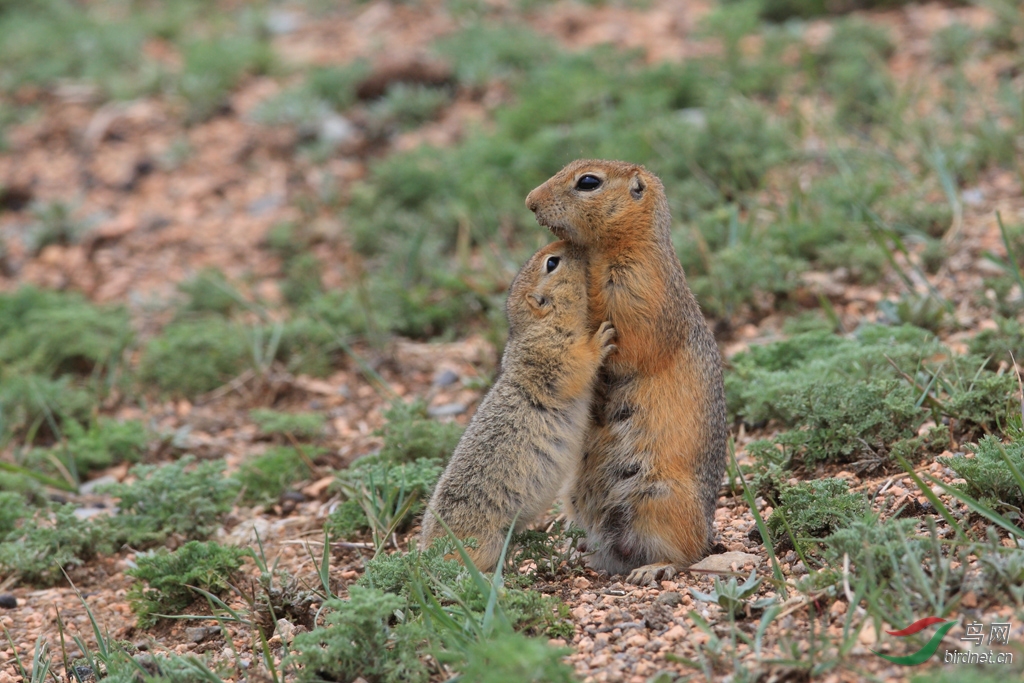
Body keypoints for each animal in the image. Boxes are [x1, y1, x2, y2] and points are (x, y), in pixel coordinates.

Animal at [421, 240, 614, 573]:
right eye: (552, 263)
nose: (573, 243)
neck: (539, 323)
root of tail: (423, 553)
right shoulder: (551, 353)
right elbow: (576, 365)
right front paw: (601, 339)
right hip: (485, 541)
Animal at [528, 160, 729, 589]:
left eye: (588, 182)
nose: (530, 201)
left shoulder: (639, 286)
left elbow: (632, 342)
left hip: (662, 499)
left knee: (688, 553)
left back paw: (653, 567)